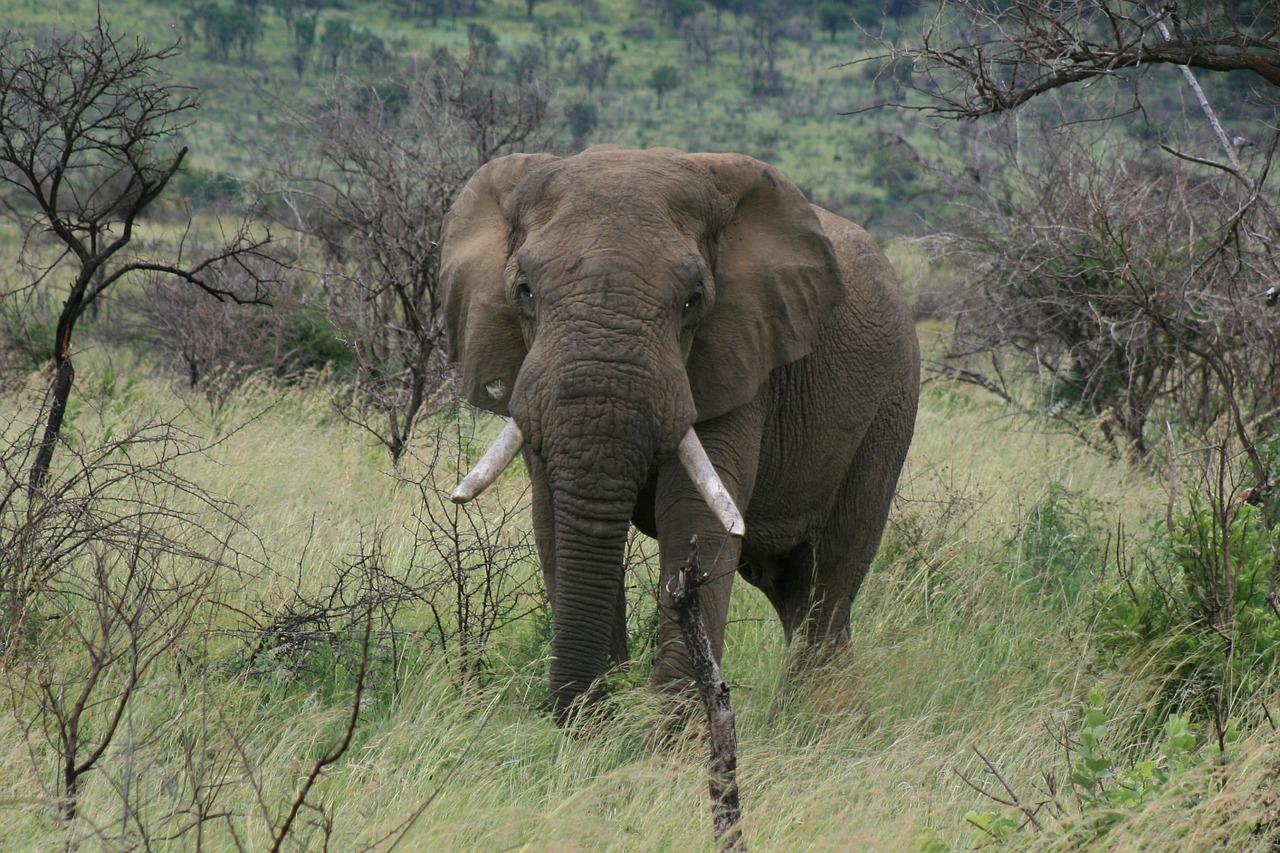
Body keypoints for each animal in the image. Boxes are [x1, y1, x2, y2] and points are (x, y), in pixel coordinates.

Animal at [440, 144, 921, 717]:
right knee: (791, 589)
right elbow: (553, 516)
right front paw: (602, 722)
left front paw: (669, 732)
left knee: (828, 581)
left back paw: (824, 720)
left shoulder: (742, 356)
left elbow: (697, 517)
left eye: (693, 300)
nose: (576, 712)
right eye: (524, 291)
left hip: (890, 406)